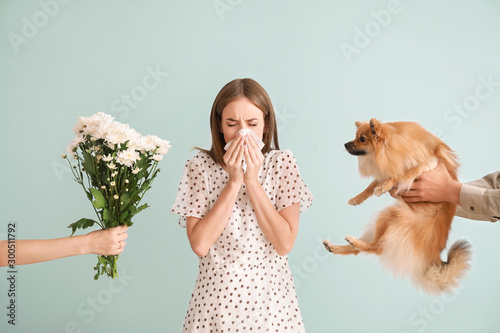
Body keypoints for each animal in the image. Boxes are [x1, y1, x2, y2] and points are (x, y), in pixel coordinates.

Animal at [324, 118, 472, 294]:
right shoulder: (385, 170)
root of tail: (433, 257)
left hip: (391, 216)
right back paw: (335, 247)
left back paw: (353, 242)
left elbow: (402, 173)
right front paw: (358, 198)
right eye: (355, 137)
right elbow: (371, 186)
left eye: (362, 139)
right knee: (361, 250)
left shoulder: (427, 163)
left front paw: (384, 186)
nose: (346, 144)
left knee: (377, 248)